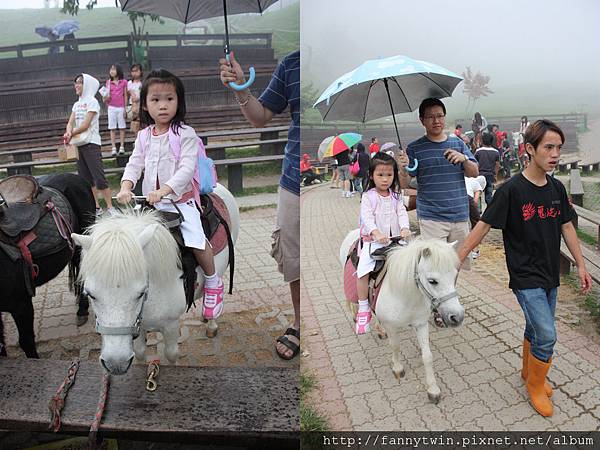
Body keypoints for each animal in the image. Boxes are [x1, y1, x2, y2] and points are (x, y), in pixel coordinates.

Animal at [342, 230, 464, 402]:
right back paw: (357, 317)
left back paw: (380, 330)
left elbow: (427, 356)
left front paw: (433, 389)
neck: (406, 294)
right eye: (432, 281)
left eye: (454, 276)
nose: (457, 317)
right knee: (351, 300)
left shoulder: (421, 324)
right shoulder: (392, 326)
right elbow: (396, 346)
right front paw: (398, 369)